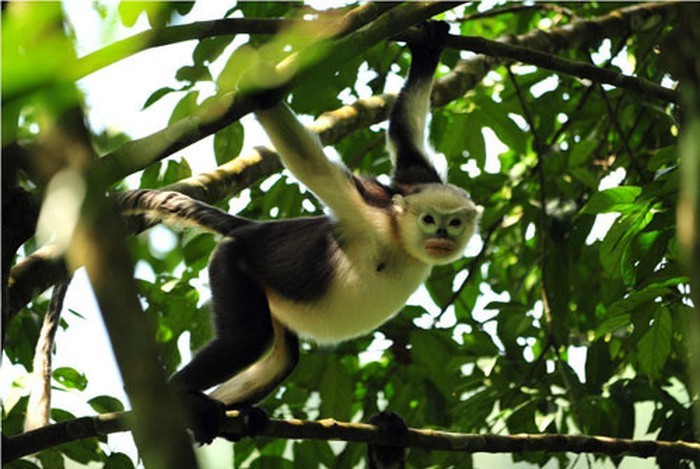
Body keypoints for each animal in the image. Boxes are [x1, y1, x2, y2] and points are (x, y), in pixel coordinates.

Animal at [117, 21, 481, 444]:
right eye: (428, 221)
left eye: (454, 222)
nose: (442, 233)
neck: (399, 241)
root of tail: (251, 230)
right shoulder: (370, 212)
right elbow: (311, 164)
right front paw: (261, 87)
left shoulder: (410, 183)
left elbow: (404, 139)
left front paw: (427, 52)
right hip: (232, 262)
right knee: (248, 338)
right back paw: (183, 398)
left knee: (281, 359)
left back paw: (234, 414)